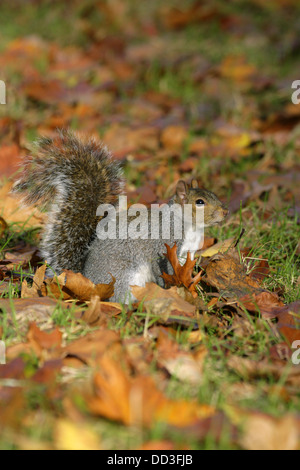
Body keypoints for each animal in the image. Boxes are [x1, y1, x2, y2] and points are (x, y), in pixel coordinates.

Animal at [13, 130, 227, 302]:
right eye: (200, 202)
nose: (225, 212)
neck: (188, 225)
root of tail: (89, 281)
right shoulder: (164, 246)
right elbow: (162, 269)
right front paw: (171, 289)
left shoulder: (185, 255)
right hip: (122, 277)